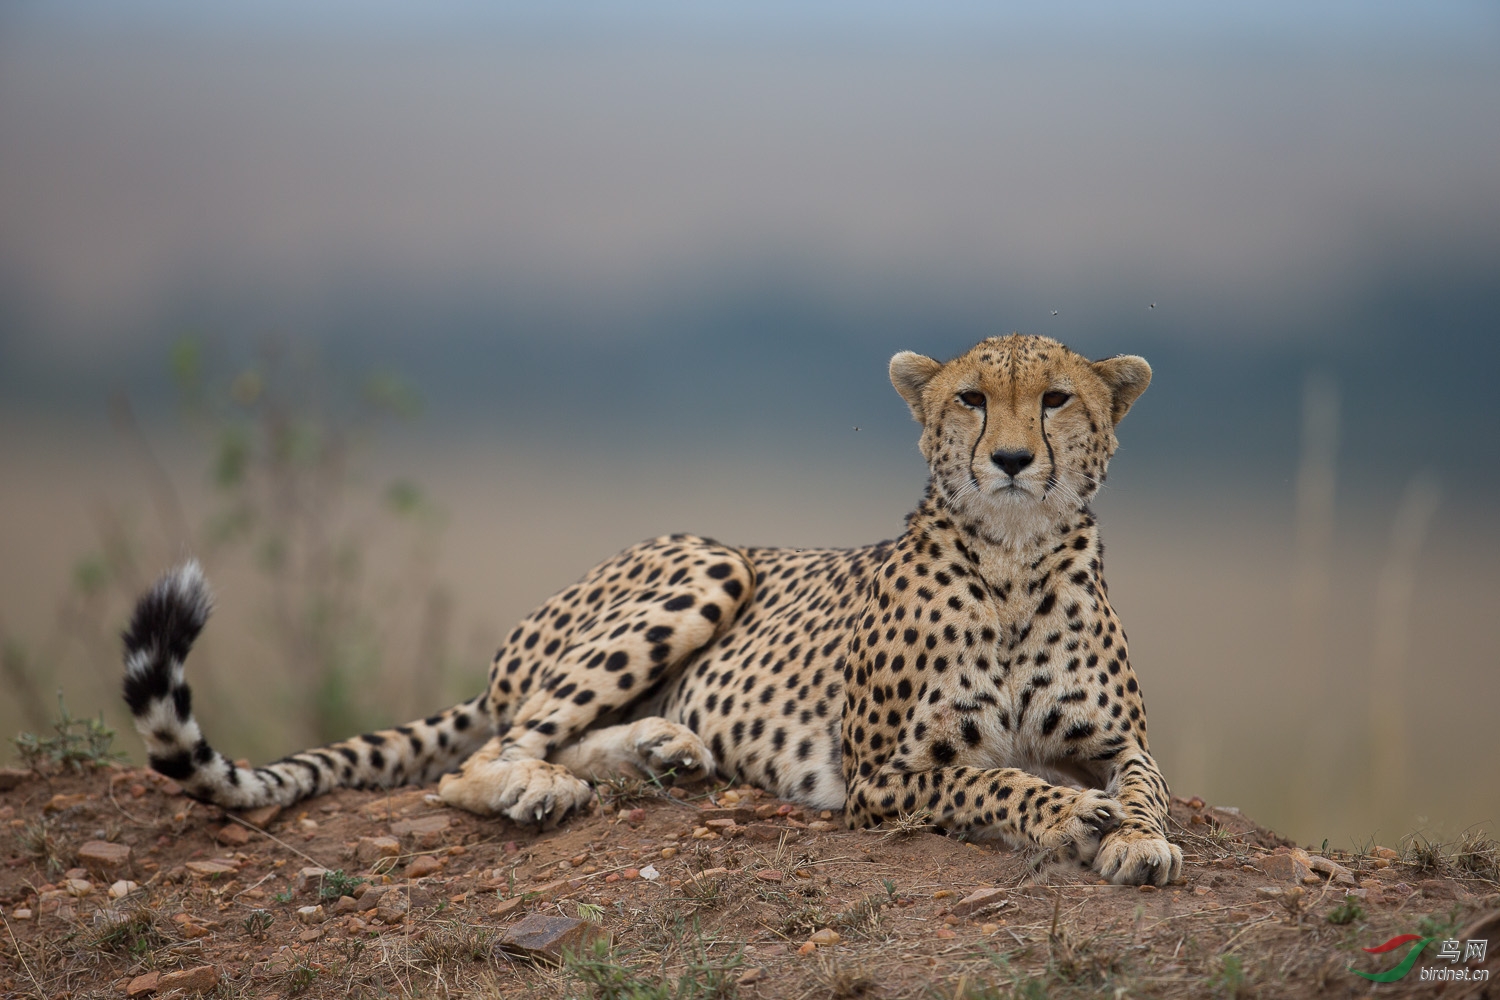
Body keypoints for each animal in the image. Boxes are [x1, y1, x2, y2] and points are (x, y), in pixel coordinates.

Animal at [120, 334, 1182, 881]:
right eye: (971, 399)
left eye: (1055, 399)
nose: (1011, 459)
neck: (1014, 561)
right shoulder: (884, 777)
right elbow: (994, 781)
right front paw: (1070, 816)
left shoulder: (1116, 738)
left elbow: (1143, 783)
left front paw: (1139, 839)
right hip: (710, 563)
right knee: (479, 759)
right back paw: (546, 788)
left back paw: (657, 750)